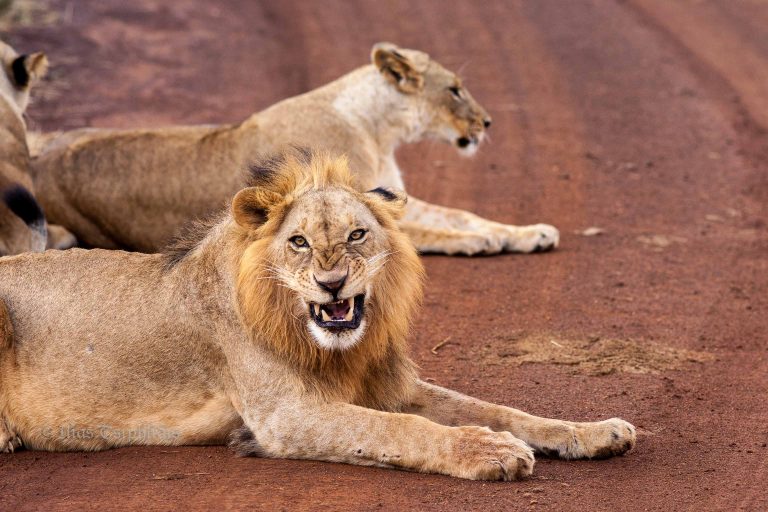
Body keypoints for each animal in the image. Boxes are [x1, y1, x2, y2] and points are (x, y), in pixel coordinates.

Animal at [0, 149, 632, 479]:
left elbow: (504, 410)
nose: (332, 286)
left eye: (356, 235)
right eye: (299, 242)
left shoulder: (392, 386)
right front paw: (489, 451)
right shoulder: (290, 414)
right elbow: (397, 429)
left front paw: (594, 432)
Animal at [31, 42, 559, 255]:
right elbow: (429, 231)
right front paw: (480, 242)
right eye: (454, 90)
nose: (487, 123)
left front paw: (531, 232)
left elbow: (461, 214)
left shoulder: (386, 192)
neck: (377, 128)